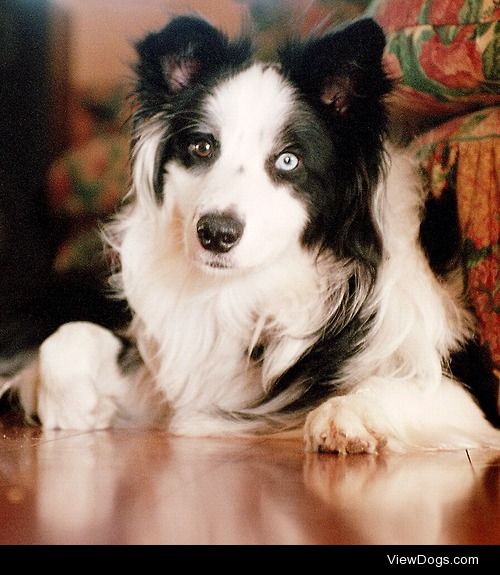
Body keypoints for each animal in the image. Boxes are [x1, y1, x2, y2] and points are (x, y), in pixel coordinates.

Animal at [4, 14, 500, 454]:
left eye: (288, 160)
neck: (245, 288)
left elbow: (397, 383)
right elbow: (64, 340)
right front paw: (74, 408)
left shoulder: (472, 397)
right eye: (202, 146)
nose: (215, 234)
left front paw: (344, 415)